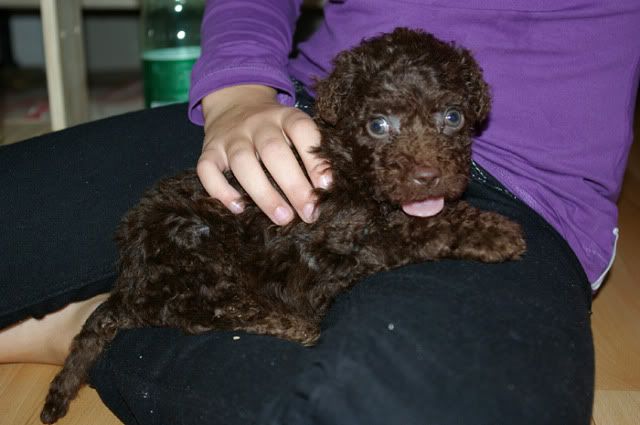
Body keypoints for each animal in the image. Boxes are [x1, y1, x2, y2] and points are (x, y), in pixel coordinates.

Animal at [40, 28, 524, 422]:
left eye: (453, 118)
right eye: (378, 125)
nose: (427, 177)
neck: (350, 164)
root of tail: (128, 277)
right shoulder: (331, 244)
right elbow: (411, 229)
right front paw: (493, 231)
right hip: (195, 246)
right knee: (195, 312)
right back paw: (288, 323)